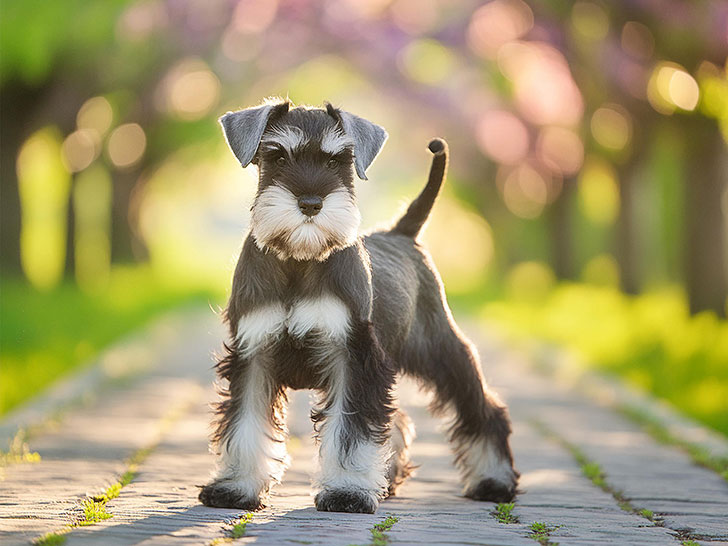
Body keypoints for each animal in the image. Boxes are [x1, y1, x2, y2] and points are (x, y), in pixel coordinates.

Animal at [199, 99, 516, 516]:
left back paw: (493, 481)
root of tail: (402, 232)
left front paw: (347, 491)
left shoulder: (353, 355)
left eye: (339, 161)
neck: (299, 260)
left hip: (440, 350)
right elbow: (244, 423)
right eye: (277, 156)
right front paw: (235, 487)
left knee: (480, 408)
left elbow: (351, 430)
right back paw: (389, 478)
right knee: (398, 418)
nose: (310, 204)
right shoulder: (253, 354)